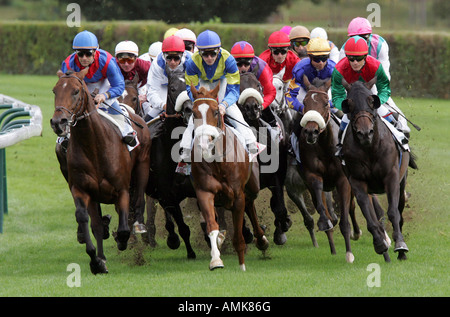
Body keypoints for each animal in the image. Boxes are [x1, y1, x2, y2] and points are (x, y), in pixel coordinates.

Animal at [50, 68, 150, 272]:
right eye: (55, 91)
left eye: (76, 91)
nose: (58, 122)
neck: (94, 146)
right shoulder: (82, 189)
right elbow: (87, 219)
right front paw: (97, 260)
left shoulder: (121, 189)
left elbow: (124, 226)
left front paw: (122, 239)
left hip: (143, 165)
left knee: (138, 197)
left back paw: (138, 225)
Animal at [189, 83, 268, 270]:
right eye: (193, 113)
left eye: (215, 112)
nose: (204, 143)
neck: (219, 162)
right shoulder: (204, 192)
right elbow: (212, 225)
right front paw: (215, 260)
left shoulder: (237, 195)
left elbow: (238, 236)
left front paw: (242, 266)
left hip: (252, 186)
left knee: (250, 204)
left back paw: (261, 240)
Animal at [237, 72, 294, 244]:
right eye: (238, 86)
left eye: (258, 85)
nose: (252, 107)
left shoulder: (276, 174)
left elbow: (279, 206)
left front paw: (282, 227)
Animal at [298, 76, 356, 262]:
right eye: (305, 102)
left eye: (325, 103)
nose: (311, 131)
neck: (324, 147)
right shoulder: (312, 175)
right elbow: (319, 195)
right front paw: (325, 222)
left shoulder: (343, 179)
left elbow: (345, 219)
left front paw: (349, 253)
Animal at [342, 78, 418, 260]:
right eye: (349, 104)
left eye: (372, 101)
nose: (365, 133)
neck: (370, 149)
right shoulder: (357, 181)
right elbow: (369, 217)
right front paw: (379, 244)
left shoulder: (391, 177)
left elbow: (393, 212)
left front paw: (400, 245)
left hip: (401, 182)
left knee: (399, 211)